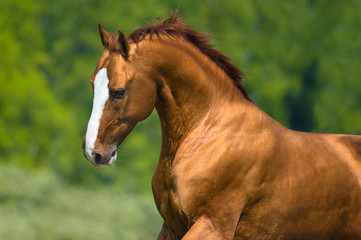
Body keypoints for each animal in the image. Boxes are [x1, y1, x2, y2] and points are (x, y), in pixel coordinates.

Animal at [81, 12, 360, 240]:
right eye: (93, 84)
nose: (93, 152)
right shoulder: (172, 228)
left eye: (119, 91)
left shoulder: (213, 226)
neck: (210, 134)